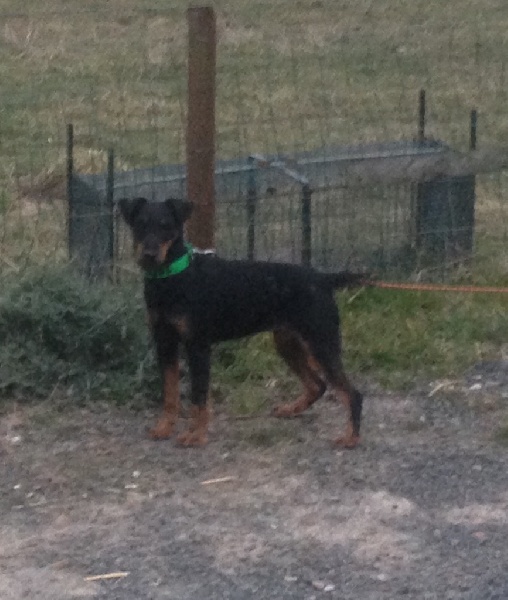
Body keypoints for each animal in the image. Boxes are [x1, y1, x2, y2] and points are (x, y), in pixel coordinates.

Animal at [120, 196, 365, 448]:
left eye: (166, 226)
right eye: (140, 225)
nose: (149, 254)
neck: (172, 277)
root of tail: (324, 279)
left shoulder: (198, 347)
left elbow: (199, 397)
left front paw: (196, 435)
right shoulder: (165, 344)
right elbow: (169, 393)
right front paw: (164, 428)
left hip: (320, 344)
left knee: (352, 394)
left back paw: (350, 437)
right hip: (288, 344)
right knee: (318, 385)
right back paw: (291, 409)